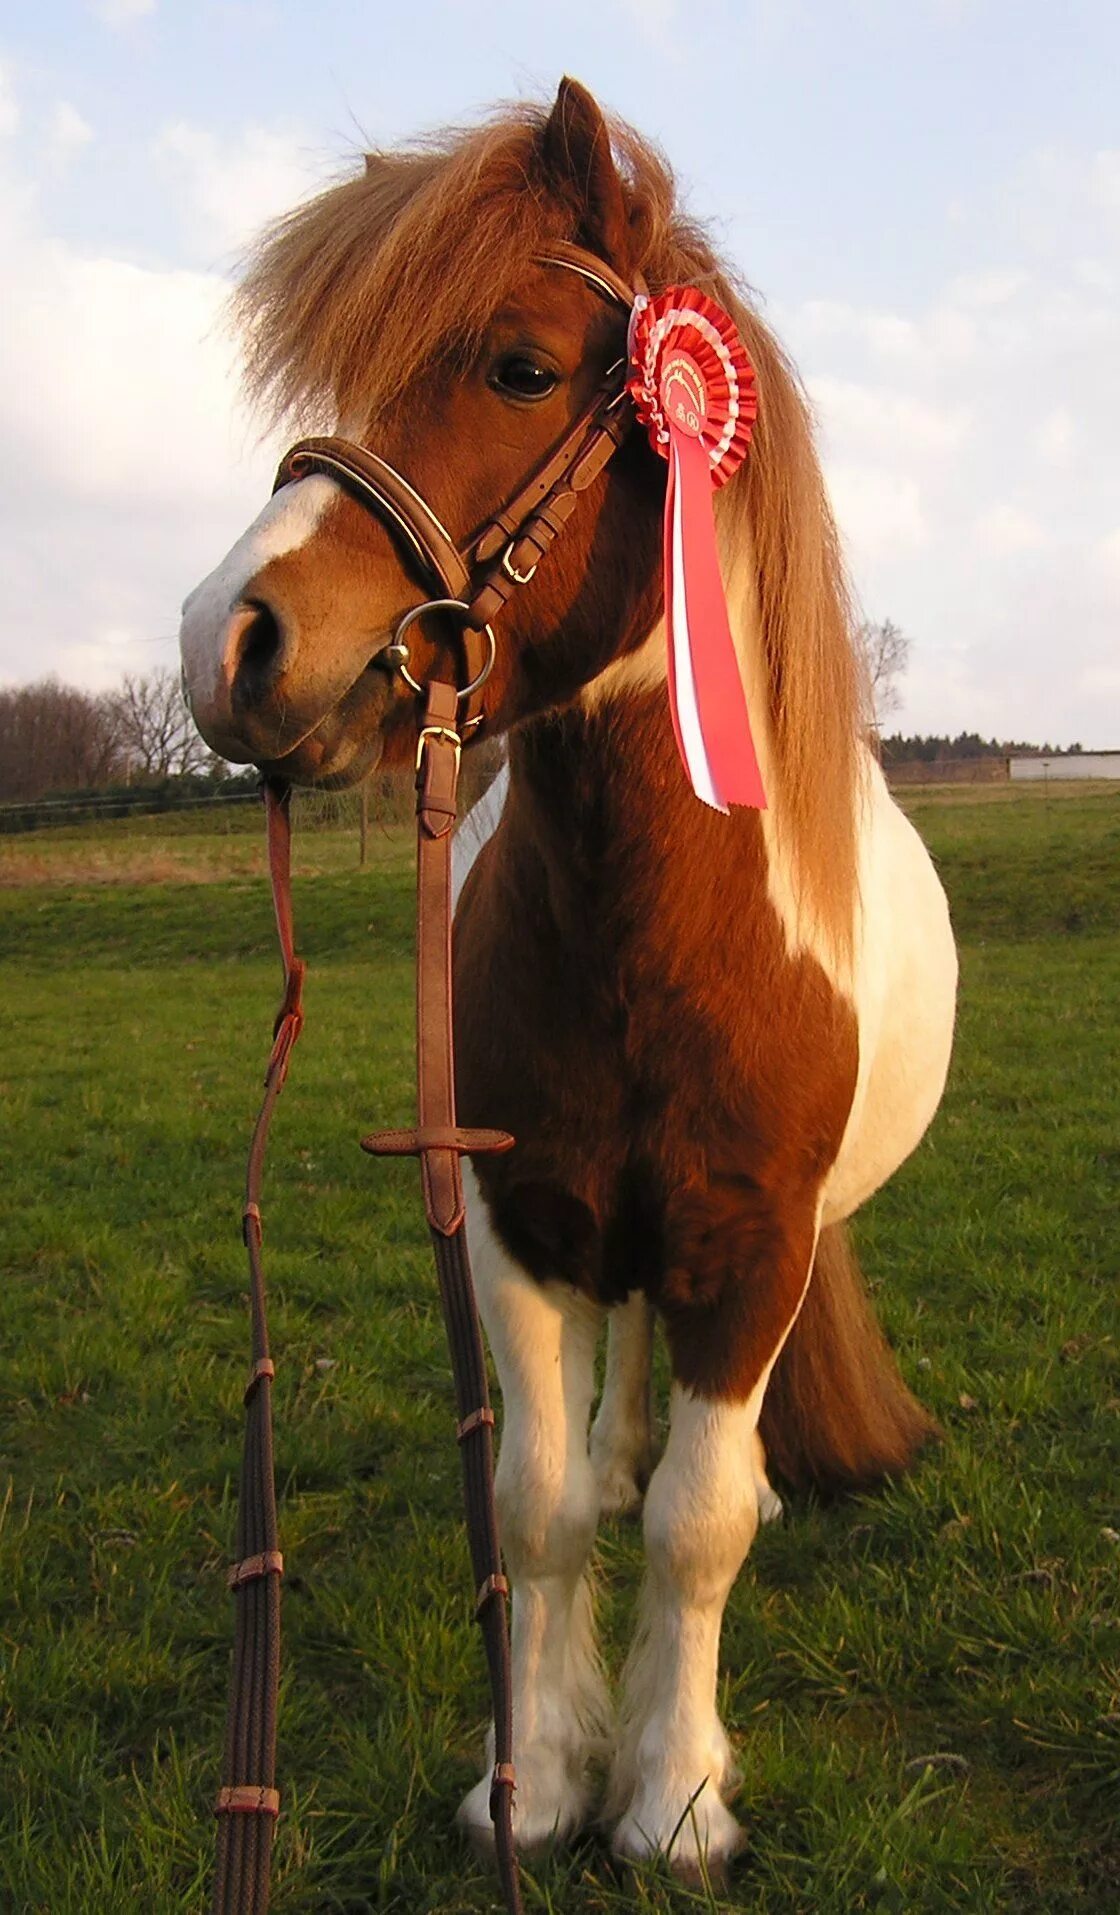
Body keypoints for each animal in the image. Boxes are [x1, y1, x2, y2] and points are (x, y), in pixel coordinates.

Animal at [179, 82, 957, 1876]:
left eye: (522, 367)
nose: (227, 643)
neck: (650, 936)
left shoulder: (752, 1248)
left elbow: (701, 1526)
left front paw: (670, 1796)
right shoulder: (516, 1225)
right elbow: (530, 1509)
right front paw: (531, 1769)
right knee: (609, 1401)